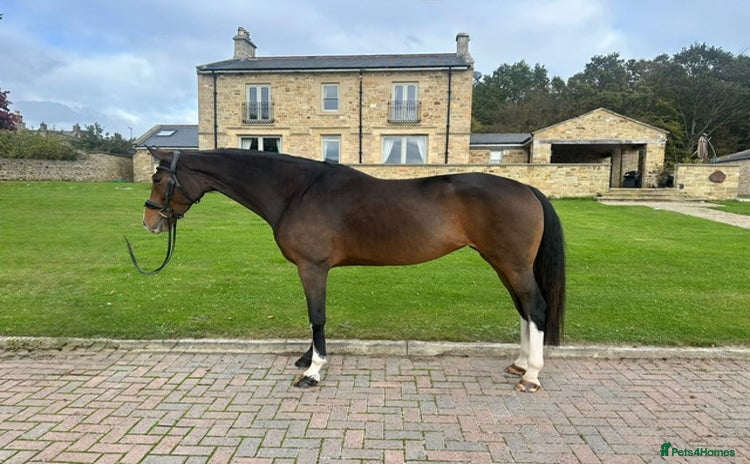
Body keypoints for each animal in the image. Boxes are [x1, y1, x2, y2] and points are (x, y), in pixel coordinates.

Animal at [131, 147, 566, 392]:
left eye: (159, 179)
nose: (149, 222)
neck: (297, 192)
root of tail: (527, 189)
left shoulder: (312, 268)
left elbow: (317, 316)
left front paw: (314, 371)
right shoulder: (311, 270)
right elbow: (313, 317)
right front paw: (307, 359)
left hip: (511, 263)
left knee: (536, 307)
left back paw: (531, 376)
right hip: (501, 263)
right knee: (524, 309)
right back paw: (520, 364)